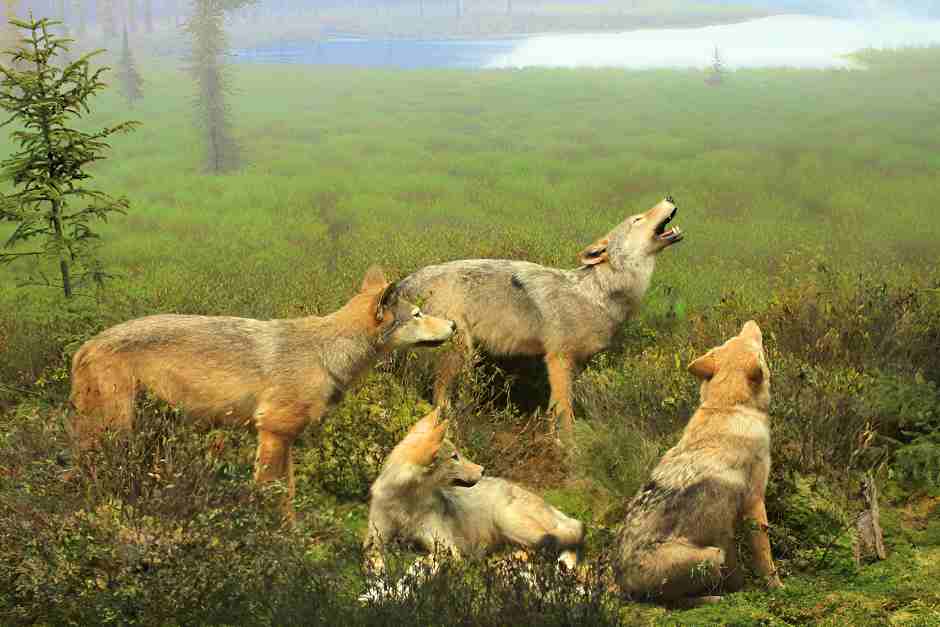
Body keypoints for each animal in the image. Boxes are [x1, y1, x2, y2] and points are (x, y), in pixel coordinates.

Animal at [69, 266, 456, 513]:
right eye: (418, 314)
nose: (453, 324)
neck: (323, 354)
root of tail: (84, 347)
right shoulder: (273, 433)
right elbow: (271, 495)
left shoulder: (285, 441)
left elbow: (289, 498)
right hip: (113, 433)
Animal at [363, 409, 585, 578]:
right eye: (454, 457)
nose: (483, 470)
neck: (405, 504)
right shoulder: (373, 541)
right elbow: (372, 561)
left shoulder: (446, 548)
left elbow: (423, 561)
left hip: (509, 521)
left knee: (567, 542)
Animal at [395, 197, 683, 439]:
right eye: (637, 219)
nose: (669, 197)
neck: (597, 293)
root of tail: (406, 281)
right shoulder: (557, 358)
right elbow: (564, 409)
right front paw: (568, 446)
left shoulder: (576, 363)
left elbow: (560, 406)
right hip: (459, 352)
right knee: (439, 396)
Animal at [613, 320, 784, 605]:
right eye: (758, 347)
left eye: (734, 337)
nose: (751, 322)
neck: (727, 406)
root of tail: (622, 584)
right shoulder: (754, 503)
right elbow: (765, 557)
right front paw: (776, 587)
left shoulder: (726, 529)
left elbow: (736, 570)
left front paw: (740, 587)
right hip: (711, 556)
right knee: (675, 603)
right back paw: (713, 599)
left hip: (714, 552)